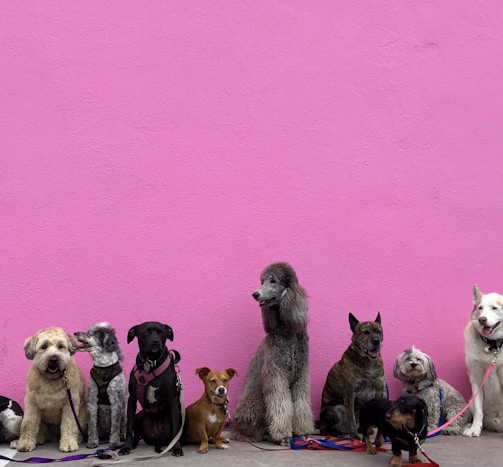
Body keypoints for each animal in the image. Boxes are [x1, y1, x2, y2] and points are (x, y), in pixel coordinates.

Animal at [119, 322, 183, 458]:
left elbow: (176, 430)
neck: (151, 364)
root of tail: (158, 439)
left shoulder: (173, 400)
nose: (155, 342)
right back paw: (133, 444)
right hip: (139, 415)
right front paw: (126, 447)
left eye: (161, 332)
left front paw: (177, 448)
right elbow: (129, 428)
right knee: (136, 433)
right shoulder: (132, 399)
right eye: (145, 332)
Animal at [232, 264, 316, 446]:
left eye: (273, 281)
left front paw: (302, 432)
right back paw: (253, 435)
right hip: (255, 397)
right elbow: (281, 403)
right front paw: (283, 436)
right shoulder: (276, 375)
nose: (255, 294)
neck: (287, 331)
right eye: (262, 281)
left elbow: (301, 403)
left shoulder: (300, 375)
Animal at [320, 312, 388, 440]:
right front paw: (355, 436)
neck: (367, 362)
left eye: (378, 331)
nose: (376, 341)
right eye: (365, 332)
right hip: (335, 409)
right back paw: (338, 432)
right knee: (325, 428)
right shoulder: (349, 393)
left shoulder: (380, 390)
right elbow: (351, 417)